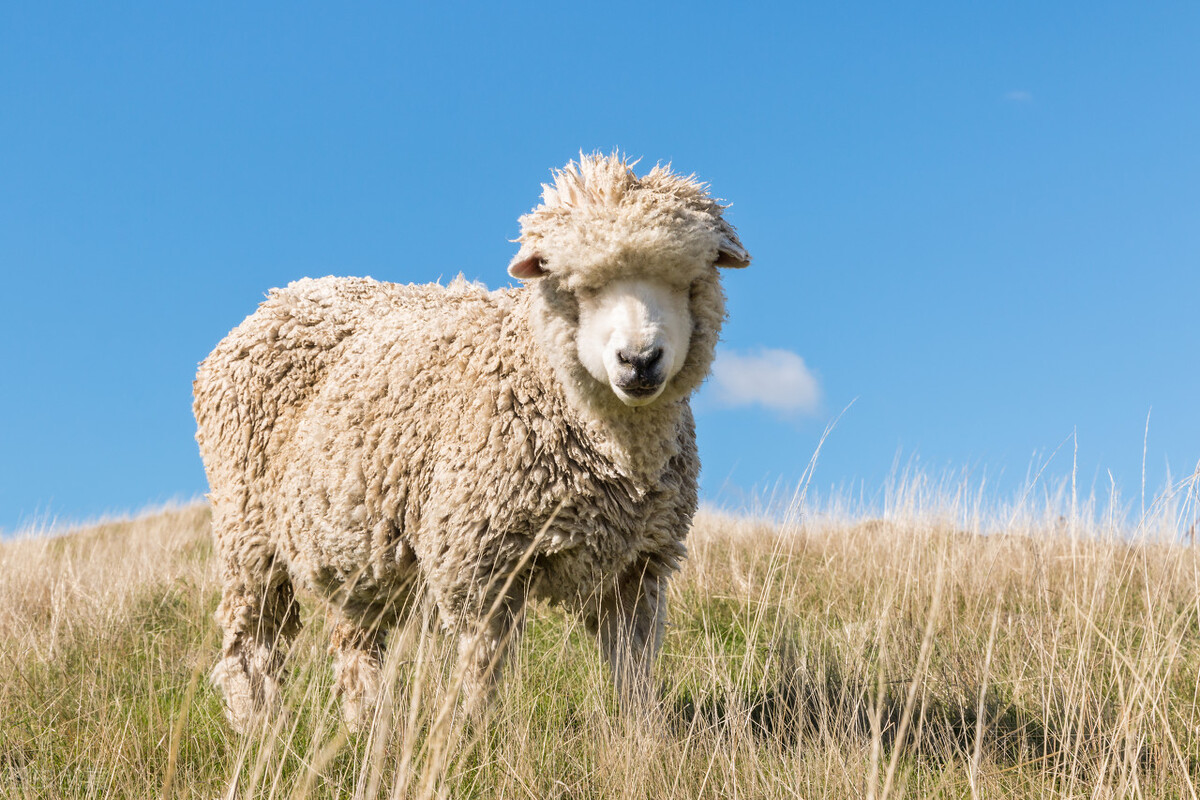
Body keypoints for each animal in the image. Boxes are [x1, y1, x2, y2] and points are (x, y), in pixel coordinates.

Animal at [194, 151, 748, 734]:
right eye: (578, 285)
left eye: (689, 279)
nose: (639, 361)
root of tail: (281, 297)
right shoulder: (477, 562)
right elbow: (481, 669)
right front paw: (476, 738)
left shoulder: (639, 569)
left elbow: (634, 671)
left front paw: (641, 740)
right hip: (246, 529)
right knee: (250, 643)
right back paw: (259, 727)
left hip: (353, 546)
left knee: (354, 641)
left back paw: (365, 724)